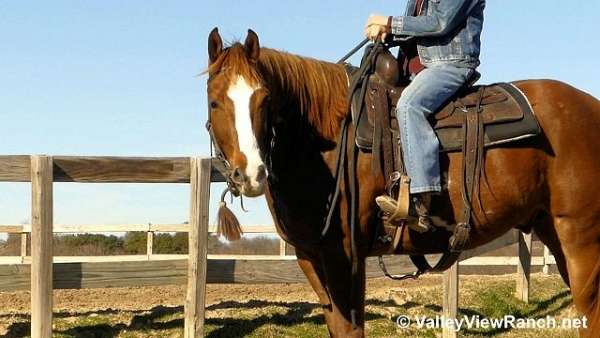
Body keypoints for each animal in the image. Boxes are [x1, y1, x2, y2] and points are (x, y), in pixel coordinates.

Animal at [205, 27, 600, 336]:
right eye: (214, 102)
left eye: (264, 99)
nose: (251, 174)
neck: (326, 140)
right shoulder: (309, 256)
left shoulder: (344, 255)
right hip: (551, 229)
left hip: (581, 237)